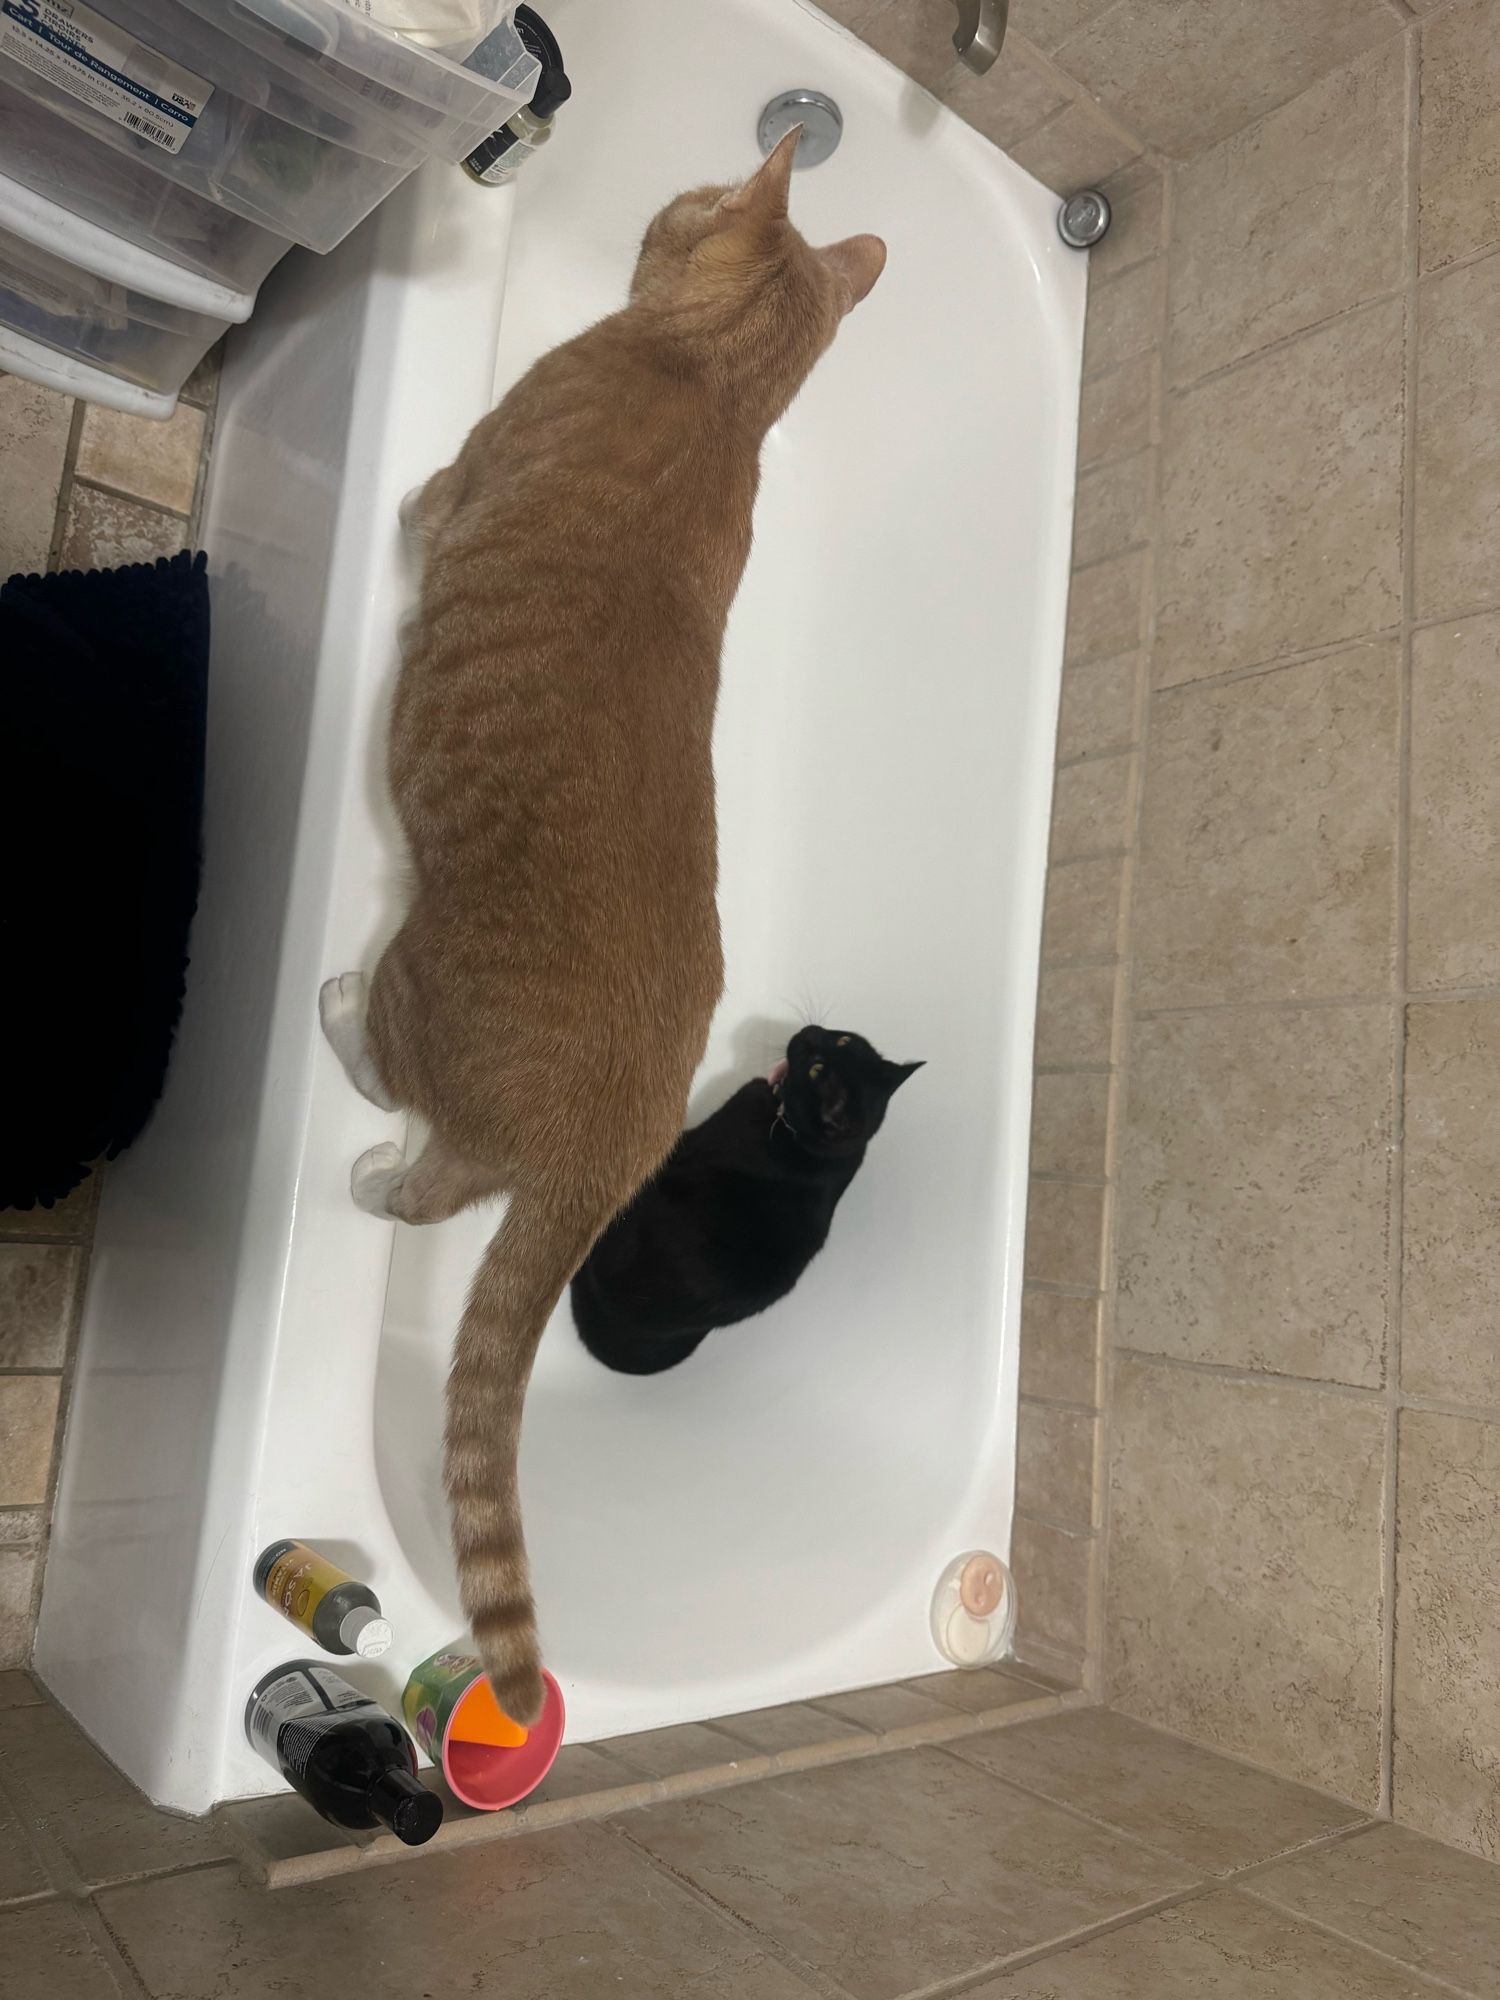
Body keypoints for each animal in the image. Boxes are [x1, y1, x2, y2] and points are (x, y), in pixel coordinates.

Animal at [318, 129, 880, 1720]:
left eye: (685, 209)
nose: (665, 200)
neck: (717, 389)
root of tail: (620, 1125)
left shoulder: (447, 489)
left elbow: (425, 503)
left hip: (420, 975)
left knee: (419, 1139)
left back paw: (348, 1062)